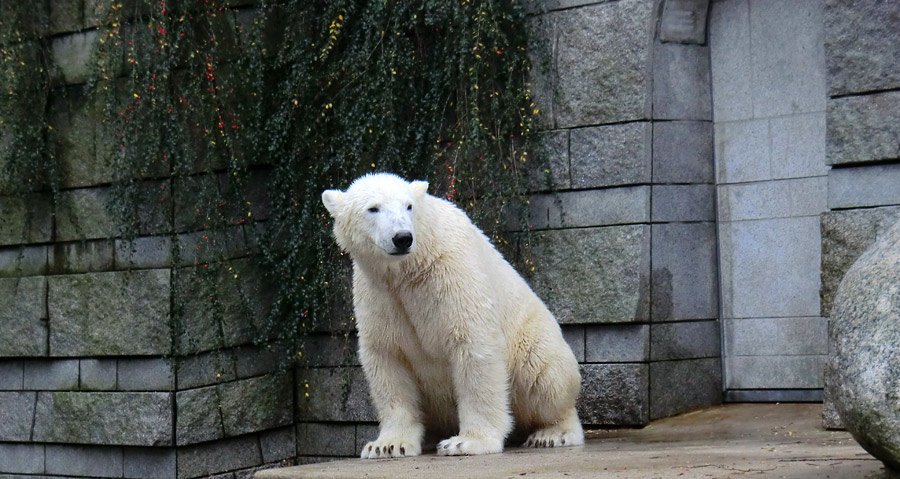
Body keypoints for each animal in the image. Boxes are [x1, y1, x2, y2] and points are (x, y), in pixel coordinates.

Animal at [322, 172, 584, 458]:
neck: (409, 268)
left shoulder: (450, 272)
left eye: (408, 206)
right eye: (373, 208)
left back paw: (552, 433)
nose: (402, 237)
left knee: (542, 373)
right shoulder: (379, 295)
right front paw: (388, 445)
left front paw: (466, 442)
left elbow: (472, 342)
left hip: (533, 336)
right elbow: (388, 358)